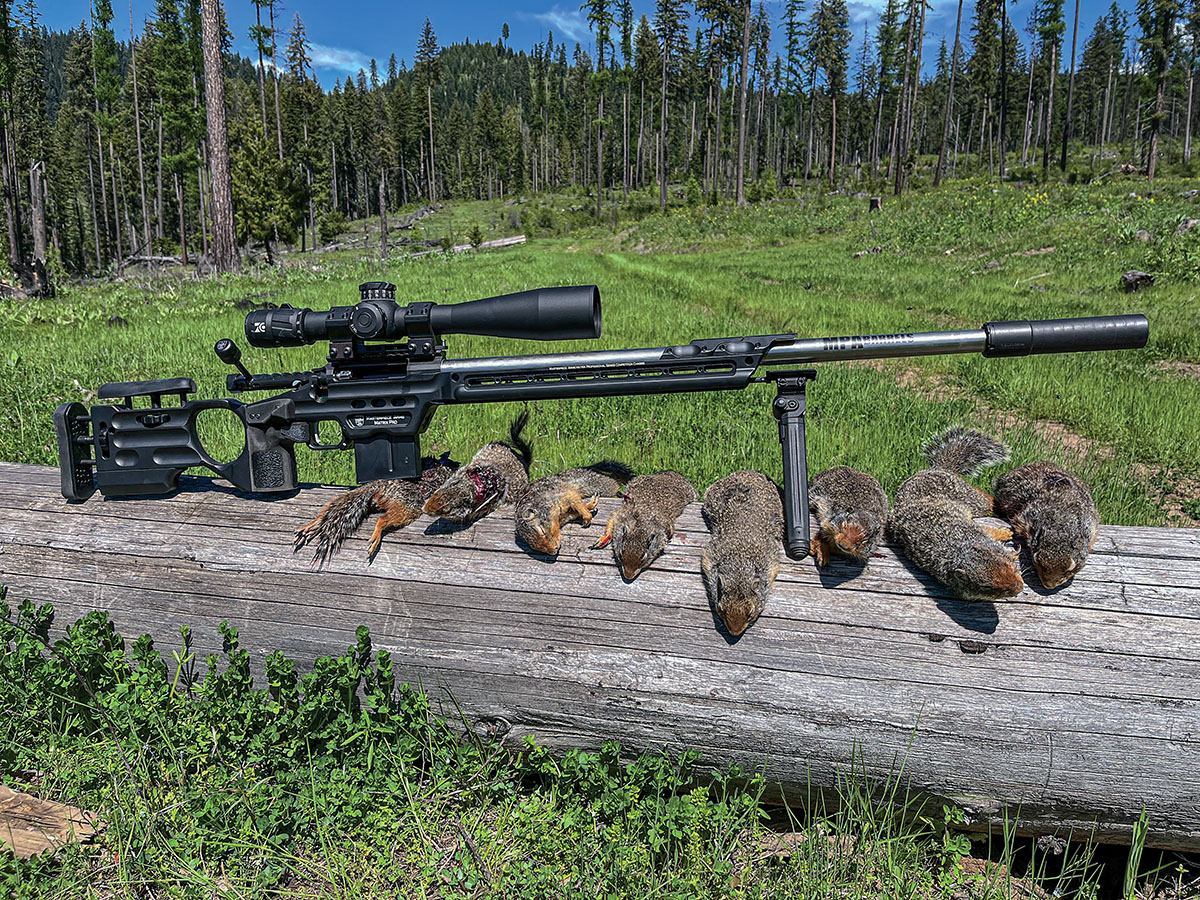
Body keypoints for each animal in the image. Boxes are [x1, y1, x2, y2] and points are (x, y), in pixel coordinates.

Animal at [293, 455, 459, 564]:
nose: (457, 463)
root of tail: (380, 485)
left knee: (327, 511)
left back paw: (310, 526)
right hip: (408, 506)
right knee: (383, 519)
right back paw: (376, 537)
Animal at [700, 470, 783, 637]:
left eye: (750, 613)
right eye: (722, 611)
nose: (734, 633)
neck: (739, 567)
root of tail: (750, 472)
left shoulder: (770, 562)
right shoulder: (710, 557)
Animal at [888, 426, 1025, 601]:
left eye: (1008, 564)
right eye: (987, 588)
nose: (1019, 588)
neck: (960, 546)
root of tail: (937, 468)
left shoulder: (972, 527)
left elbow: (988, 531)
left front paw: (1005, 537)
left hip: (969, 497)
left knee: (988, 500)